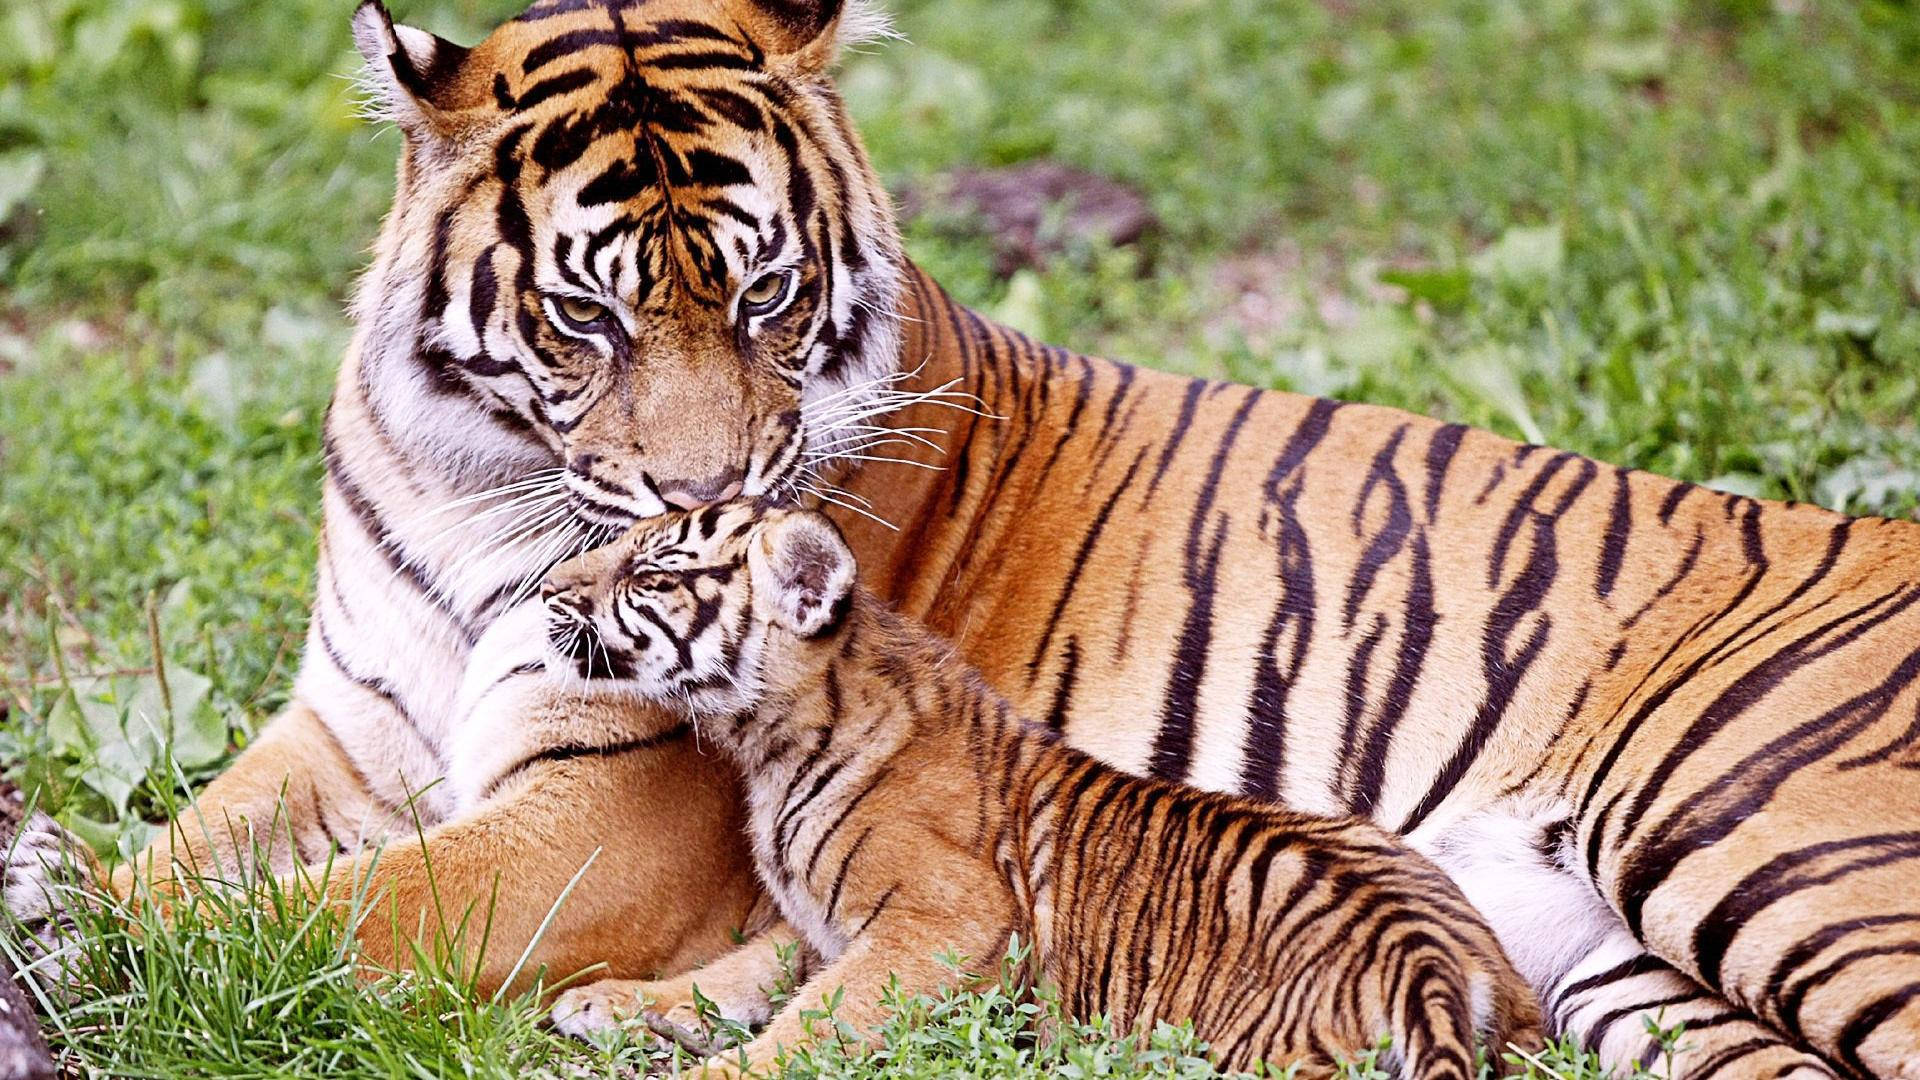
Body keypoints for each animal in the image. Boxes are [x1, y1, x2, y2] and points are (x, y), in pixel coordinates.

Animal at [506, 501, 1545, 1079]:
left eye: (650, 574)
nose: (549, 588)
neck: (766, 741)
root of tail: (1428, 959)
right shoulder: (817, 923)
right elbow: (740, 971)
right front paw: (615, 1002)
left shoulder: (946, 916)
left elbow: (815, 1019)